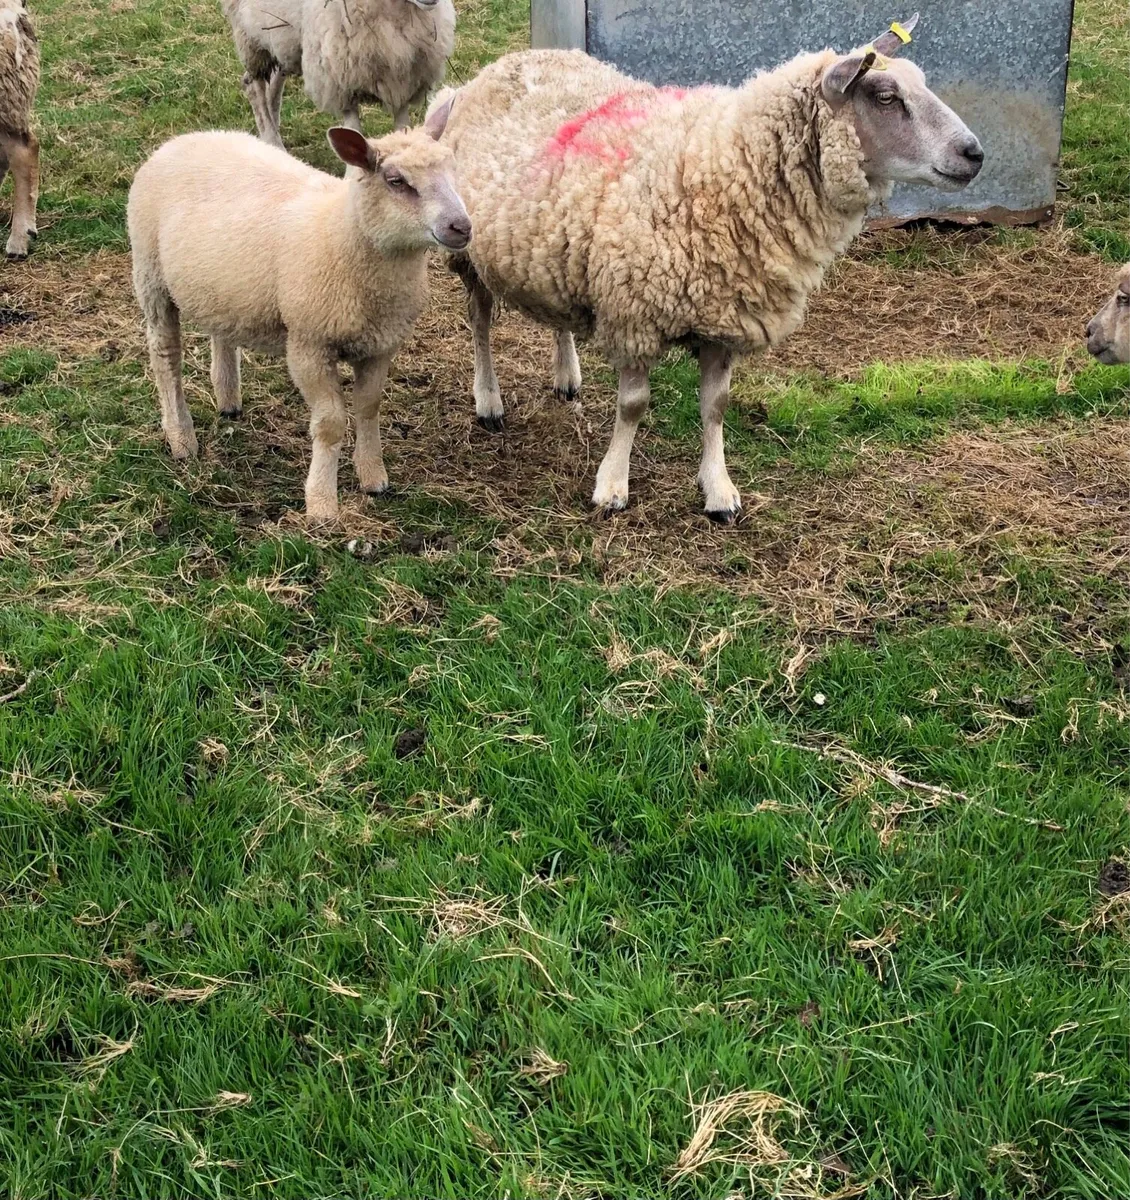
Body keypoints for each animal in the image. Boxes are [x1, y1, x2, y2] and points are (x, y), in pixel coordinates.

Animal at [126, 100, 470, 521]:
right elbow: (331, 423)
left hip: (220, 289)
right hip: (151, 276)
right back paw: (181, 438)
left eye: (452, 167)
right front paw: (321, 503)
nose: (462, 227)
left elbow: (369, 407)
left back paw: (228, 401)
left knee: (221, 333)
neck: (343, 234)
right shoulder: (309, 343)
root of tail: (184, 139)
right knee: (165, 357)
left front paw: (374, 478)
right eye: (395, 180)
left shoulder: (381, 344)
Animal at [220, 0, 456, 149]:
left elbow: (402, 126)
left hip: (286, 40)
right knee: (252, 86)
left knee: (274, 85)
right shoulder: (340, 80)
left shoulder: (403, 80)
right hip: (252, 37)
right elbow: (353, 128)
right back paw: (273, 141)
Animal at [432, 16, 985, 521]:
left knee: (556, 315)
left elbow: (715, 406)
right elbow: (633, 407)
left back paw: (567, 374)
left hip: (549, 246)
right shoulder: (634, 312)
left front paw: (719, 490)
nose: (975, 153)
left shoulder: (726, 318)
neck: (721, 166)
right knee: (480, 323)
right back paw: (488, 402)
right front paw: (612, 486)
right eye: (887, 96)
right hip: (468, 250)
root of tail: (495, 69)